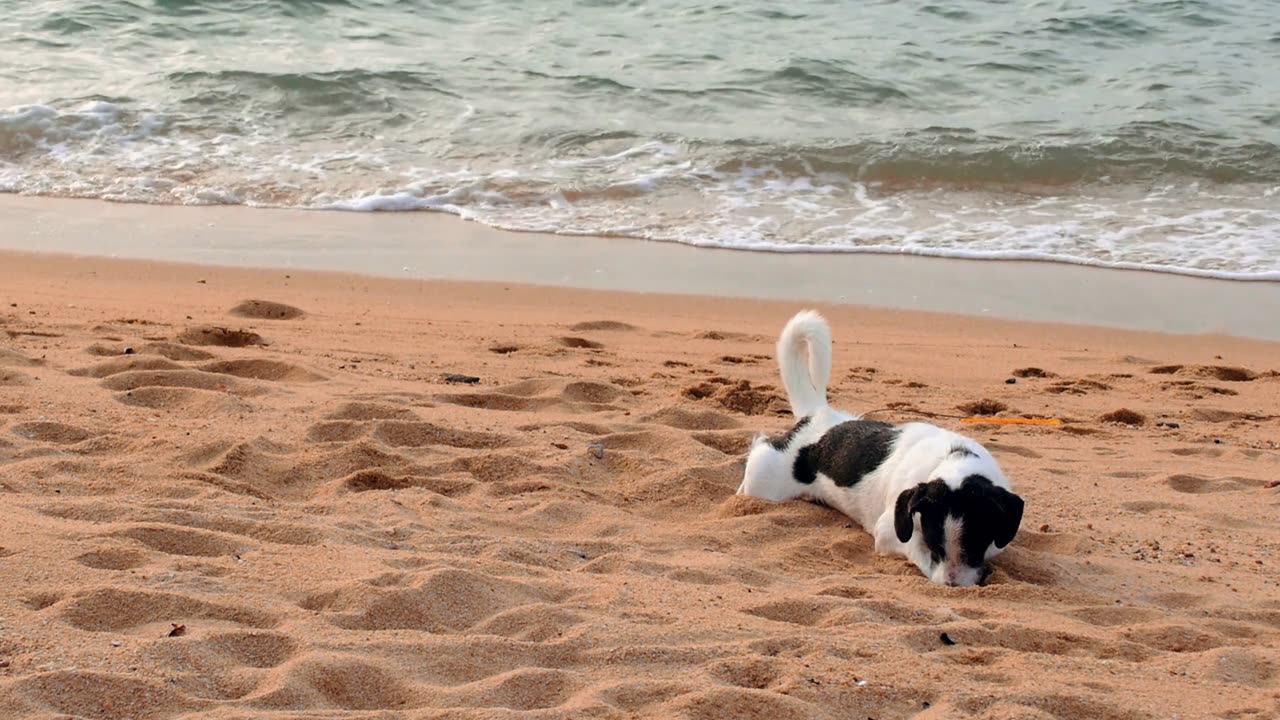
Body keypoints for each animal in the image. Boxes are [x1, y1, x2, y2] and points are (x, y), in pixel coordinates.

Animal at [737, 308, 1024, 584]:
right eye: (934, 546)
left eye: (975, 545)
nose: (952, 585)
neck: (953, 457)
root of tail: (817, 415)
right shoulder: (889, 532)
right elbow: (916, 551)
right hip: (764, 480)